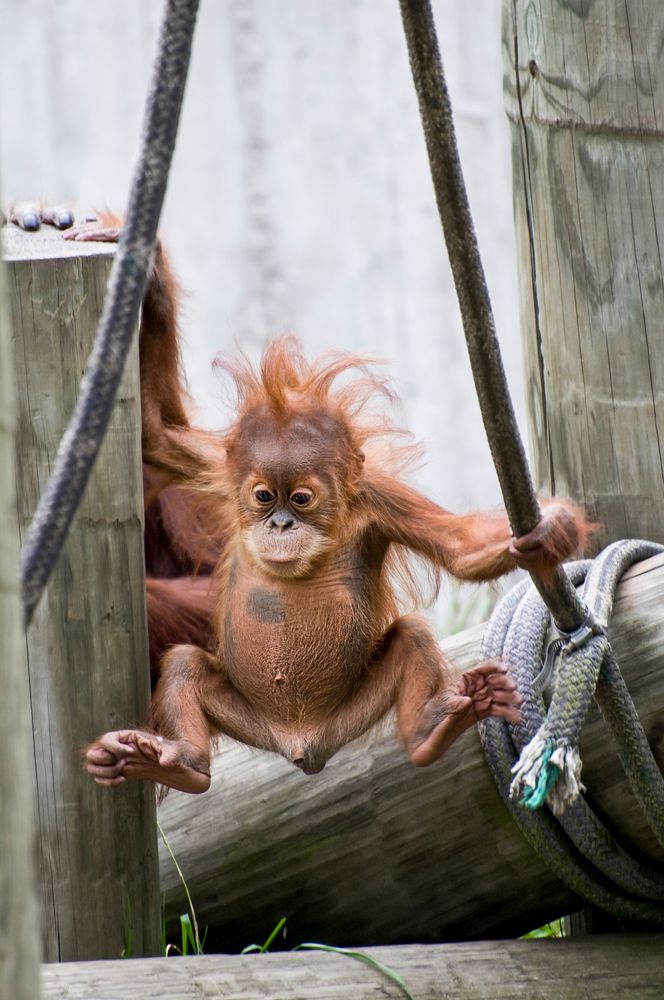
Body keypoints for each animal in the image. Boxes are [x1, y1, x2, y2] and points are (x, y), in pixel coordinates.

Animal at [51, 216, 591, 795]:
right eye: (263, 496)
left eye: (302, 498)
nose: (281, 523)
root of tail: (300, 743)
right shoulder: (213, 469)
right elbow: (154, 431)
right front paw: (143, 263)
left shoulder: (380, 500)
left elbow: (460, 548)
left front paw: (553, 527)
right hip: (247, 716)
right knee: (184, 667)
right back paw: (175, 762)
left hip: (352, 712)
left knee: (412, 638)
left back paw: (437, 726)